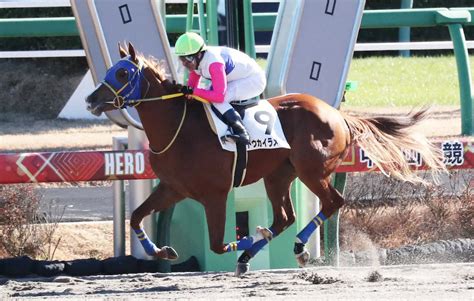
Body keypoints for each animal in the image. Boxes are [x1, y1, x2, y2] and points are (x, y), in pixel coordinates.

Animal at [85, 43, 444, 276]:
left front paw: (246, 237)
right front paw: (161, 251)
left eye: (122, 73)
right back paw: (255, 253)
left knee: (332, 202)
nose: (90, 100)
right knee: (285, 217)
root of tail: (336, 114)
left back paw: (294, 247)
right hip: (278, 175)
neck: (179, 128)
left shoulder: (215, 194)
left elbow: (217, 244)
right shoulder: (173, 188)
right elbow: (136, 217)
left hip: (312, 170)